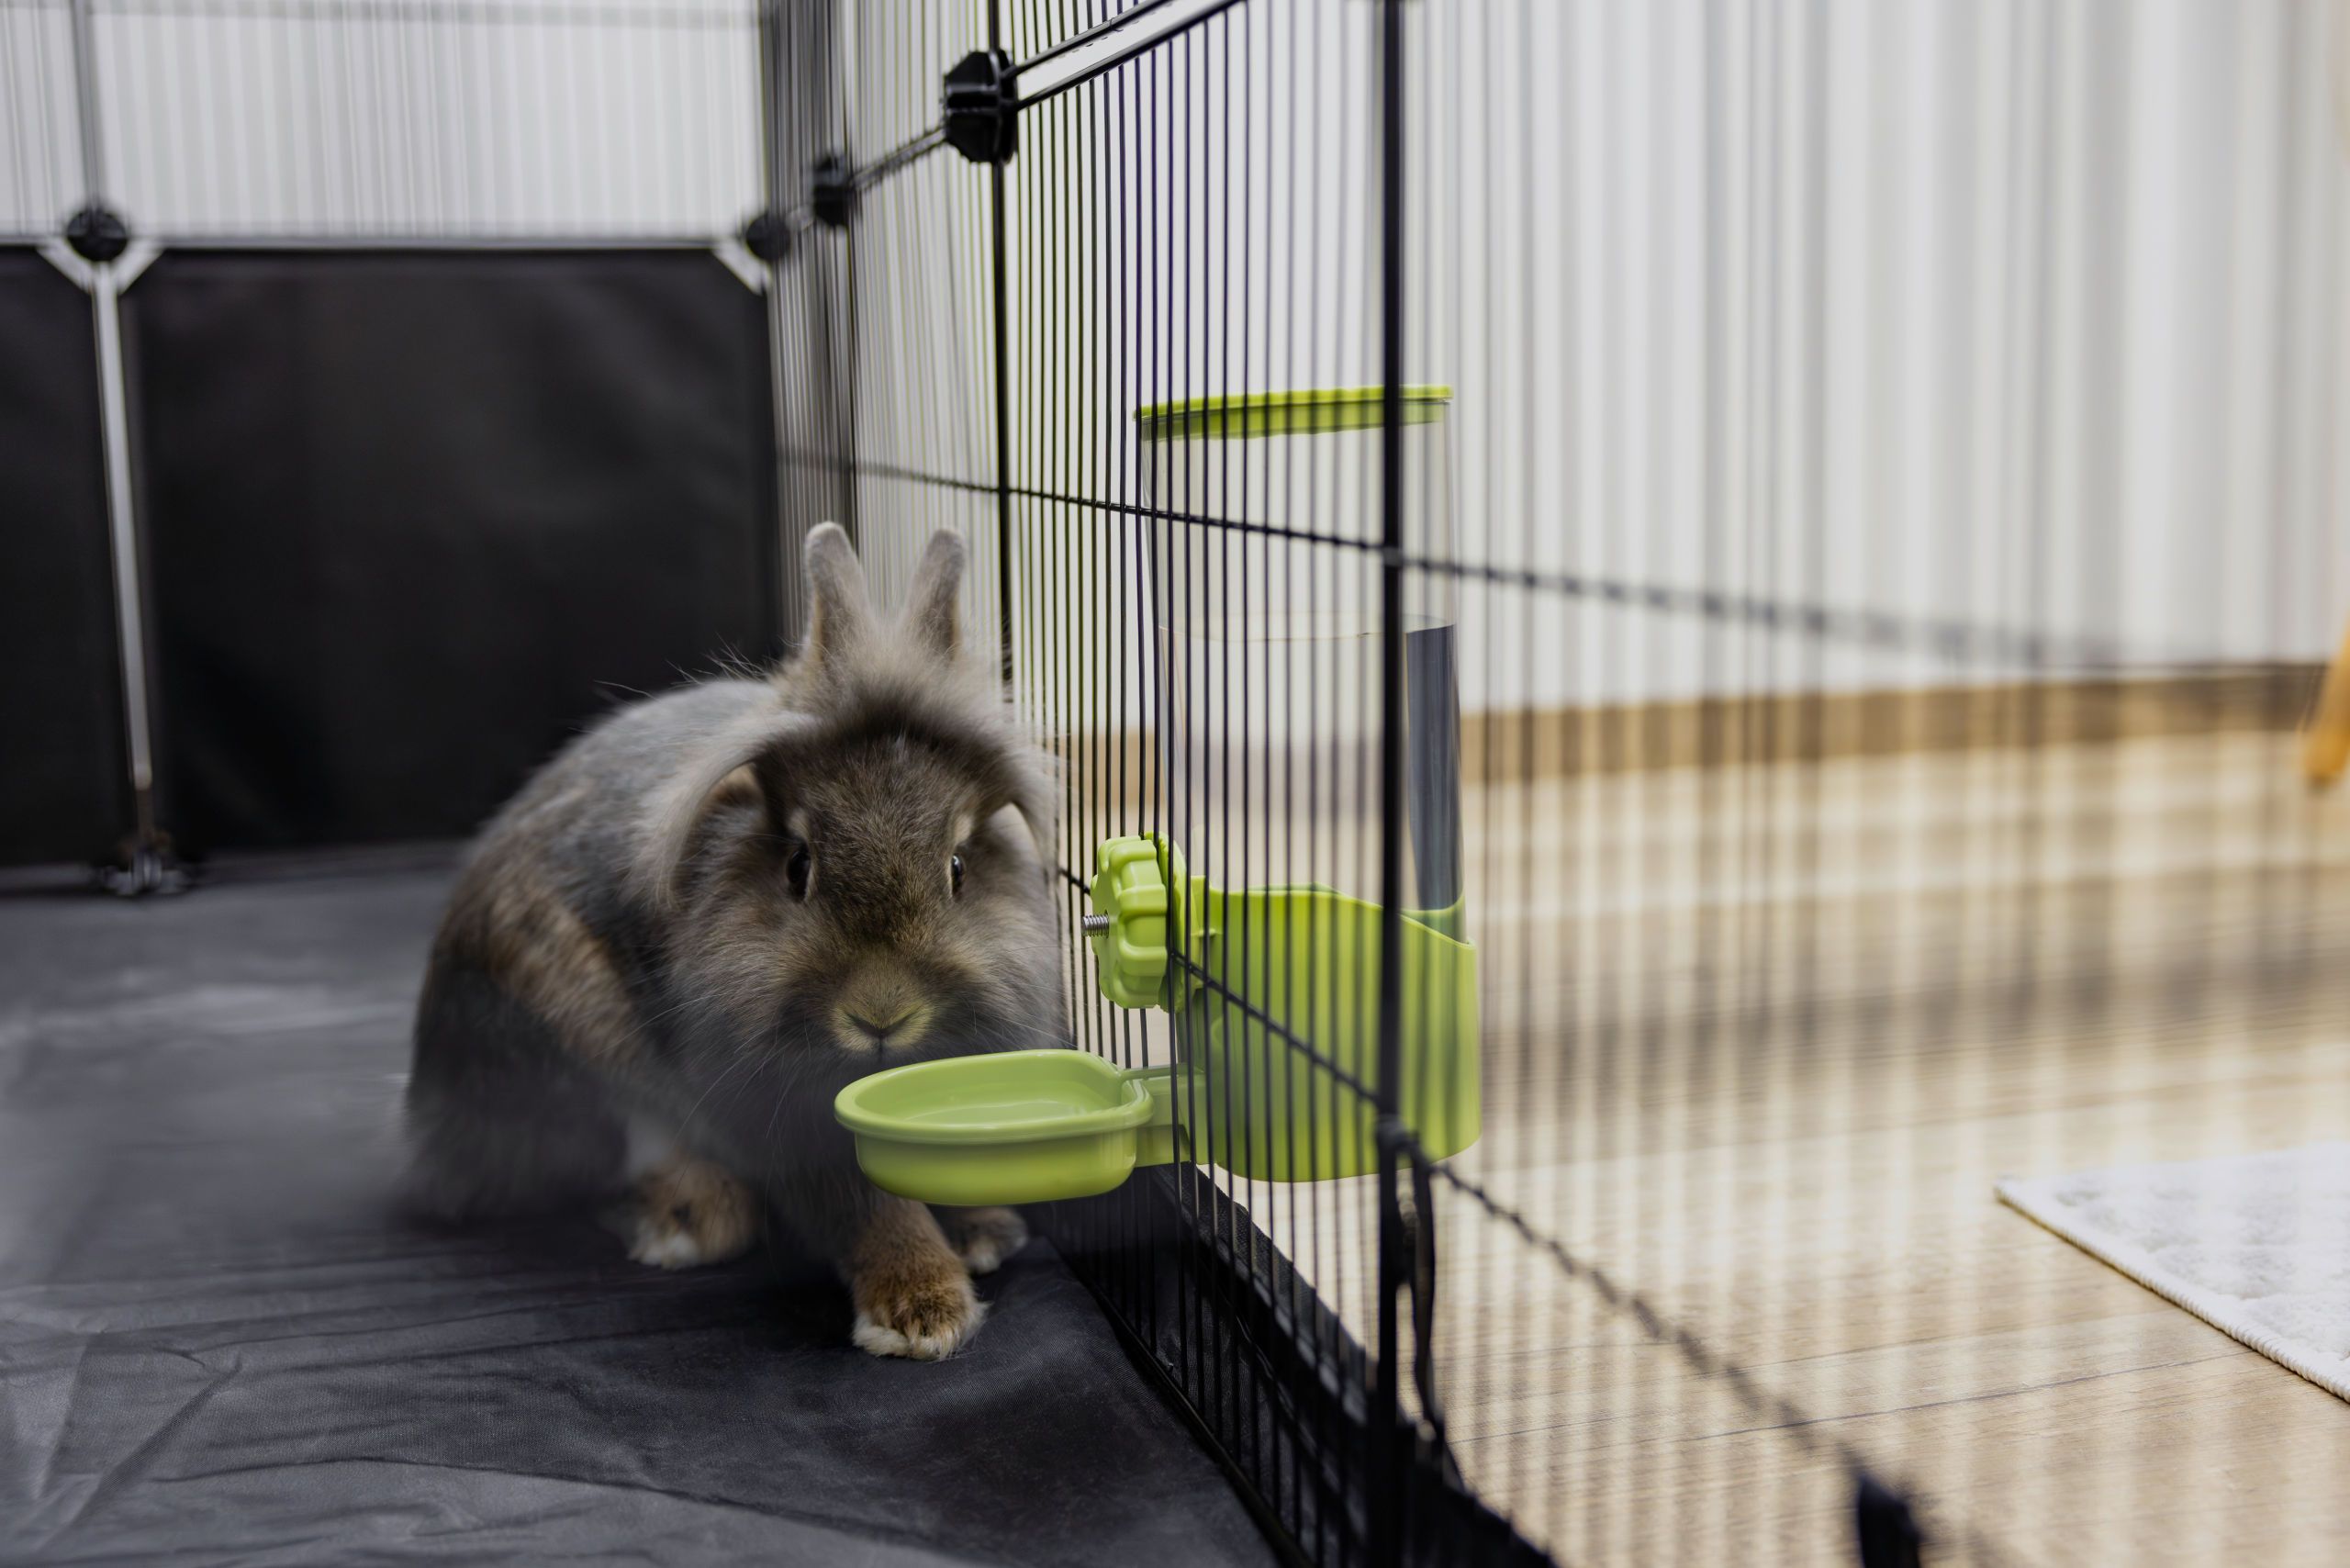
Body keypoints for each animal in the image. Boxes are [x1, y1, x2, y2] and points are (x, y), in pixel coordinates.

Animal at [404, 523, 1063, 1359]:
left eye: (957, 867)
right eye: (798, 865)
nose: (881, 1015)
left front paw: (984, 1232)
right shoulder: (778, 1109)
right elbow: (863, 1207)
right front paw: (921, 1311)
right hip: (561, 1036)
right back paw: (688, 1221)